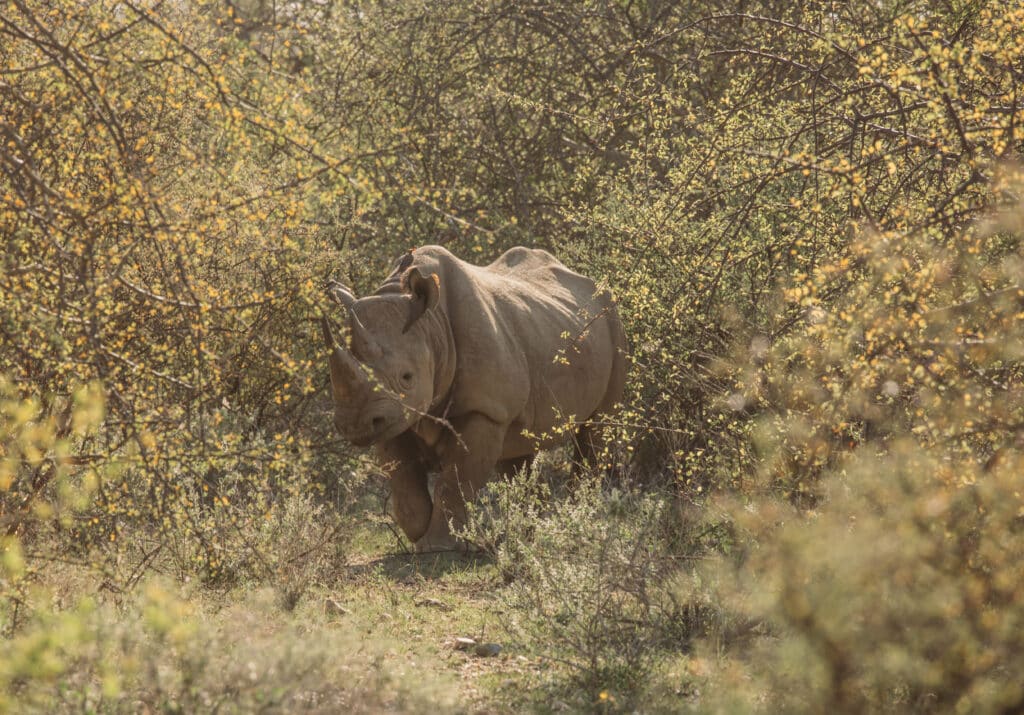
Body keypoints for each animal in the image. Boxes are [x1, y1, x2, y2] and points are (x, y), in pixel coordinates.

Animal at [321, 242, 622, 549]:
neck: (432, 326)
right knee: (519, 454)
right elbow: (403, 480)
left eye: (407, 378)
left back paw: (575, 523)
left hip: (612, 320)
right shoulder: (394, 415)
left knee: (596, 432)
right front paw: (419, 537)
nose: (354, 426)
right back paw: (525, 536)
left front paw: (438, 546)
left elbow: (455, 482)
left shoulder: (484, 409)